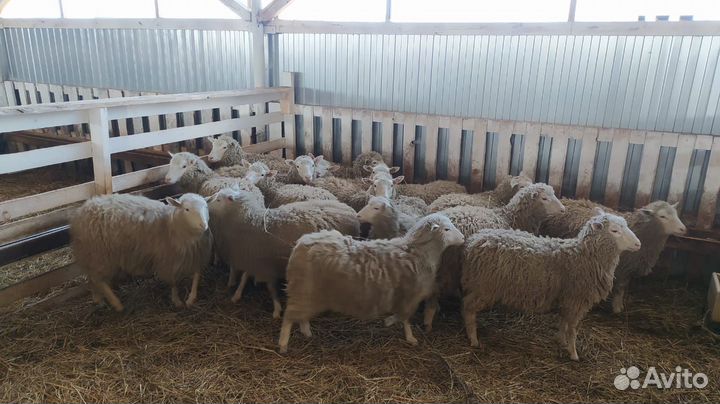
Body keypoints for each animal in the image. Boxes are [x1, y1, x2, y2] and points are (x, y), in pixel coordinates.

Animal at [70, 193, 213, 311]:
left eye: (206, 207)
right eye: (187, 209)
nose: (203, 225)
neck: (170, 225)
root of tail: (82, 210)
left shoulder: (197, 254)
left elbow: (197, 276)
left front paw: (191, 298)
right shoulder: (168, 259)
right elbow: (173, 282)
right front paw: (177, 301)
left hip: (92, 255)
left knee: (92, 278)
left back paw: (98, 299)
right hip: (99, 254)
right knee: (98, 279)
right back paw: (116, 304)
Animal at [208, 187, 360, 318]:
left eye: (219, 200)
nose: (207, 200)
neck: (252, 222)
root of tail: (351, 210)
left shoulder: (266, 264)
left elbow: (270, 288)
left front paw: (276, 309)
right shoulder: (253, 255)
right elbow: (245, 276)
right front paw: (237, 294)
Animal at [278, 213, 465, 353]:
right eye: (446, 229)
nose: (463, 238)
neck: (417, 253)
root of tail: (301, 243)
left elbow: (401, 316)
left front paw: (391, 322)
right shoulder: (409, 294)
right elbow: (404, 318)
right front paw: (408, 336)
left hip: (307, 291)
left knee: (300, 315)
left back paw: (306, 332)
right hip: (303, 288)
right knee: (289, 316)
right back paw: (283, 343)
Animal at [461, 209, 641, 360]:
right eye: (614, 231)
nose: (638, 244)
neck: (585, 257)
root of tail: (474, 241)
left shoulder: (567, 299)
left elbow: (563, 322)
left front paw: (561, 341)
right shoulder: (576, 300)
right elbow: (572, 329)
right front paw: (573, 354)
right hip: (484, 287)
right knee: (468, 309)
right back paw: (473, 339)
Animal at [539, 199, 687, 314]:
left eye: (676, 214)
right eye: (663, 217)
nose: (683, 229)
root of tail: (565, 200)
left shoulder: (627, 268)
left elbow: (622, 287)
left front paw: (618, 305)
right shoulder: (621, 268)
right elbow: (620, 287)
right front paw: (616, 307)